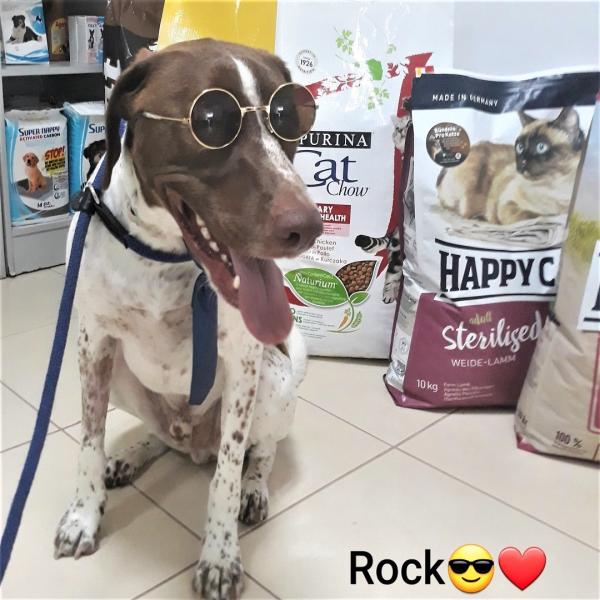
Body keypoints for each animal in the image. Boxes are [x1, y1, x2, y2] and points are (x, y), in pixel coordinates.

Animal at [54, 40, 322, 600]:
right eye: (212, 119)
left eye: (289, 116)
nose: (308, 228)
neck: (165, 254)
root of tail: (193, 443)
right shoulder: (93, 340)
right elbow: (89, 439)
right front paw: (84, 514)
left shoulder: (245, 359)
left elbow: (227, 474)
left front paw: (220, 555)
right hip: (124, 380)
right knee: (164, 435)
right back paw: (134, 454)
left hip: (273, 386)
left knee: (260, 452)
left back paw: (254, 489)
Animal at [436, 107, 584, 225]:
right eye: (520, 147)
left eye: (541, 147)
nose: (522, 162)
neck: (552, 188)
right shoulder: (507, 204)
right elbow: (533, 217)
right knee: (460, 209)